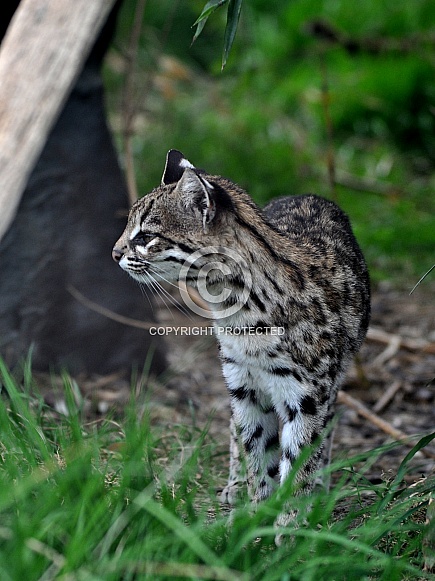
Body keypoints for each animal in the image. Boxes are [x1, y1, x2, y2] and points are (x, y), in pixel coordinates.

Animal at [112, 148, 372, 524]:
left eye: (145, 236)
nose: (115, 253)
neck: (241, 309)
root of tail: (310, 195)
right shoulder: (244, 384)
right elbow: (256, 452)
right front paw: (256, 515)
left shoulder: (307, 396)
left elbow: (299, 464)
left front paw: (290, 526)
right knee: (237, 430)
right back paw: (236, 486)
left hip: (333, 380)